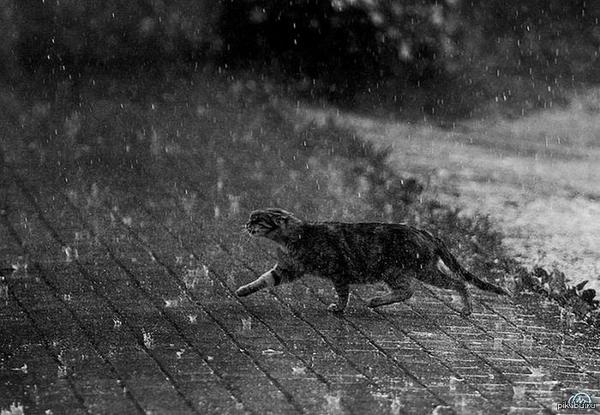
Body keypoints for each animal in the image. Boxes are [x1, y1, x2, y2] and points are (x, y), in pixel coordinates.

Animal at [236, 208, 509, 315]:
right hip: (399, 271)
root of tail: (428, 233)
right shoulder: (287, 269)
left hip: (414, 270)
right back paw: (377, 301)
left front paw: (339, 308)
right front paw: (242, 290)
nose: (246, 224)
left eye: (257, 219)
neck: (292, 238)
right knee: (408, 290)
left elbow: (342, 293)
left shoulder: (338, 270)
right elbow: (262, 280)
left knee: (455, 284)